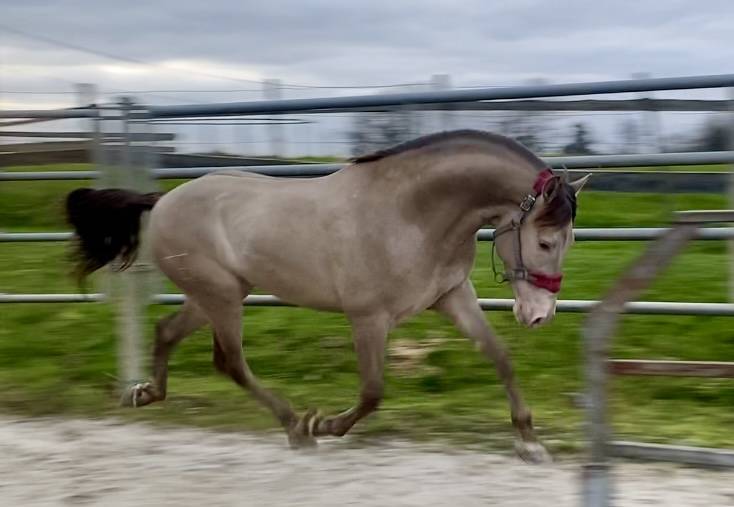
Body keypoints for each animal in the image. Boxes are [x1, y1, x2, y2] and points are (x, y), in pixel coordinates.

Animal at [65, 129, 589, 462]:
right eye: (546, 242)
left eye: (570, 242)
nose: (539, 315)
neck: (413, 213)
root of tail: (162, 200)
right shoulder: (368, 318)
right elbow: (373, 391)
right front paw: (327, 426)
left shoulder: (452, 297)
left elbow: (500, 357)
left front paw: (529, 442)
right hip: (221, 296)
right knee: (230, 361)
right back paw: (298, 427)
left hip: (215, 294)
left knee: (170, 333)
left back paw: (144, 393)